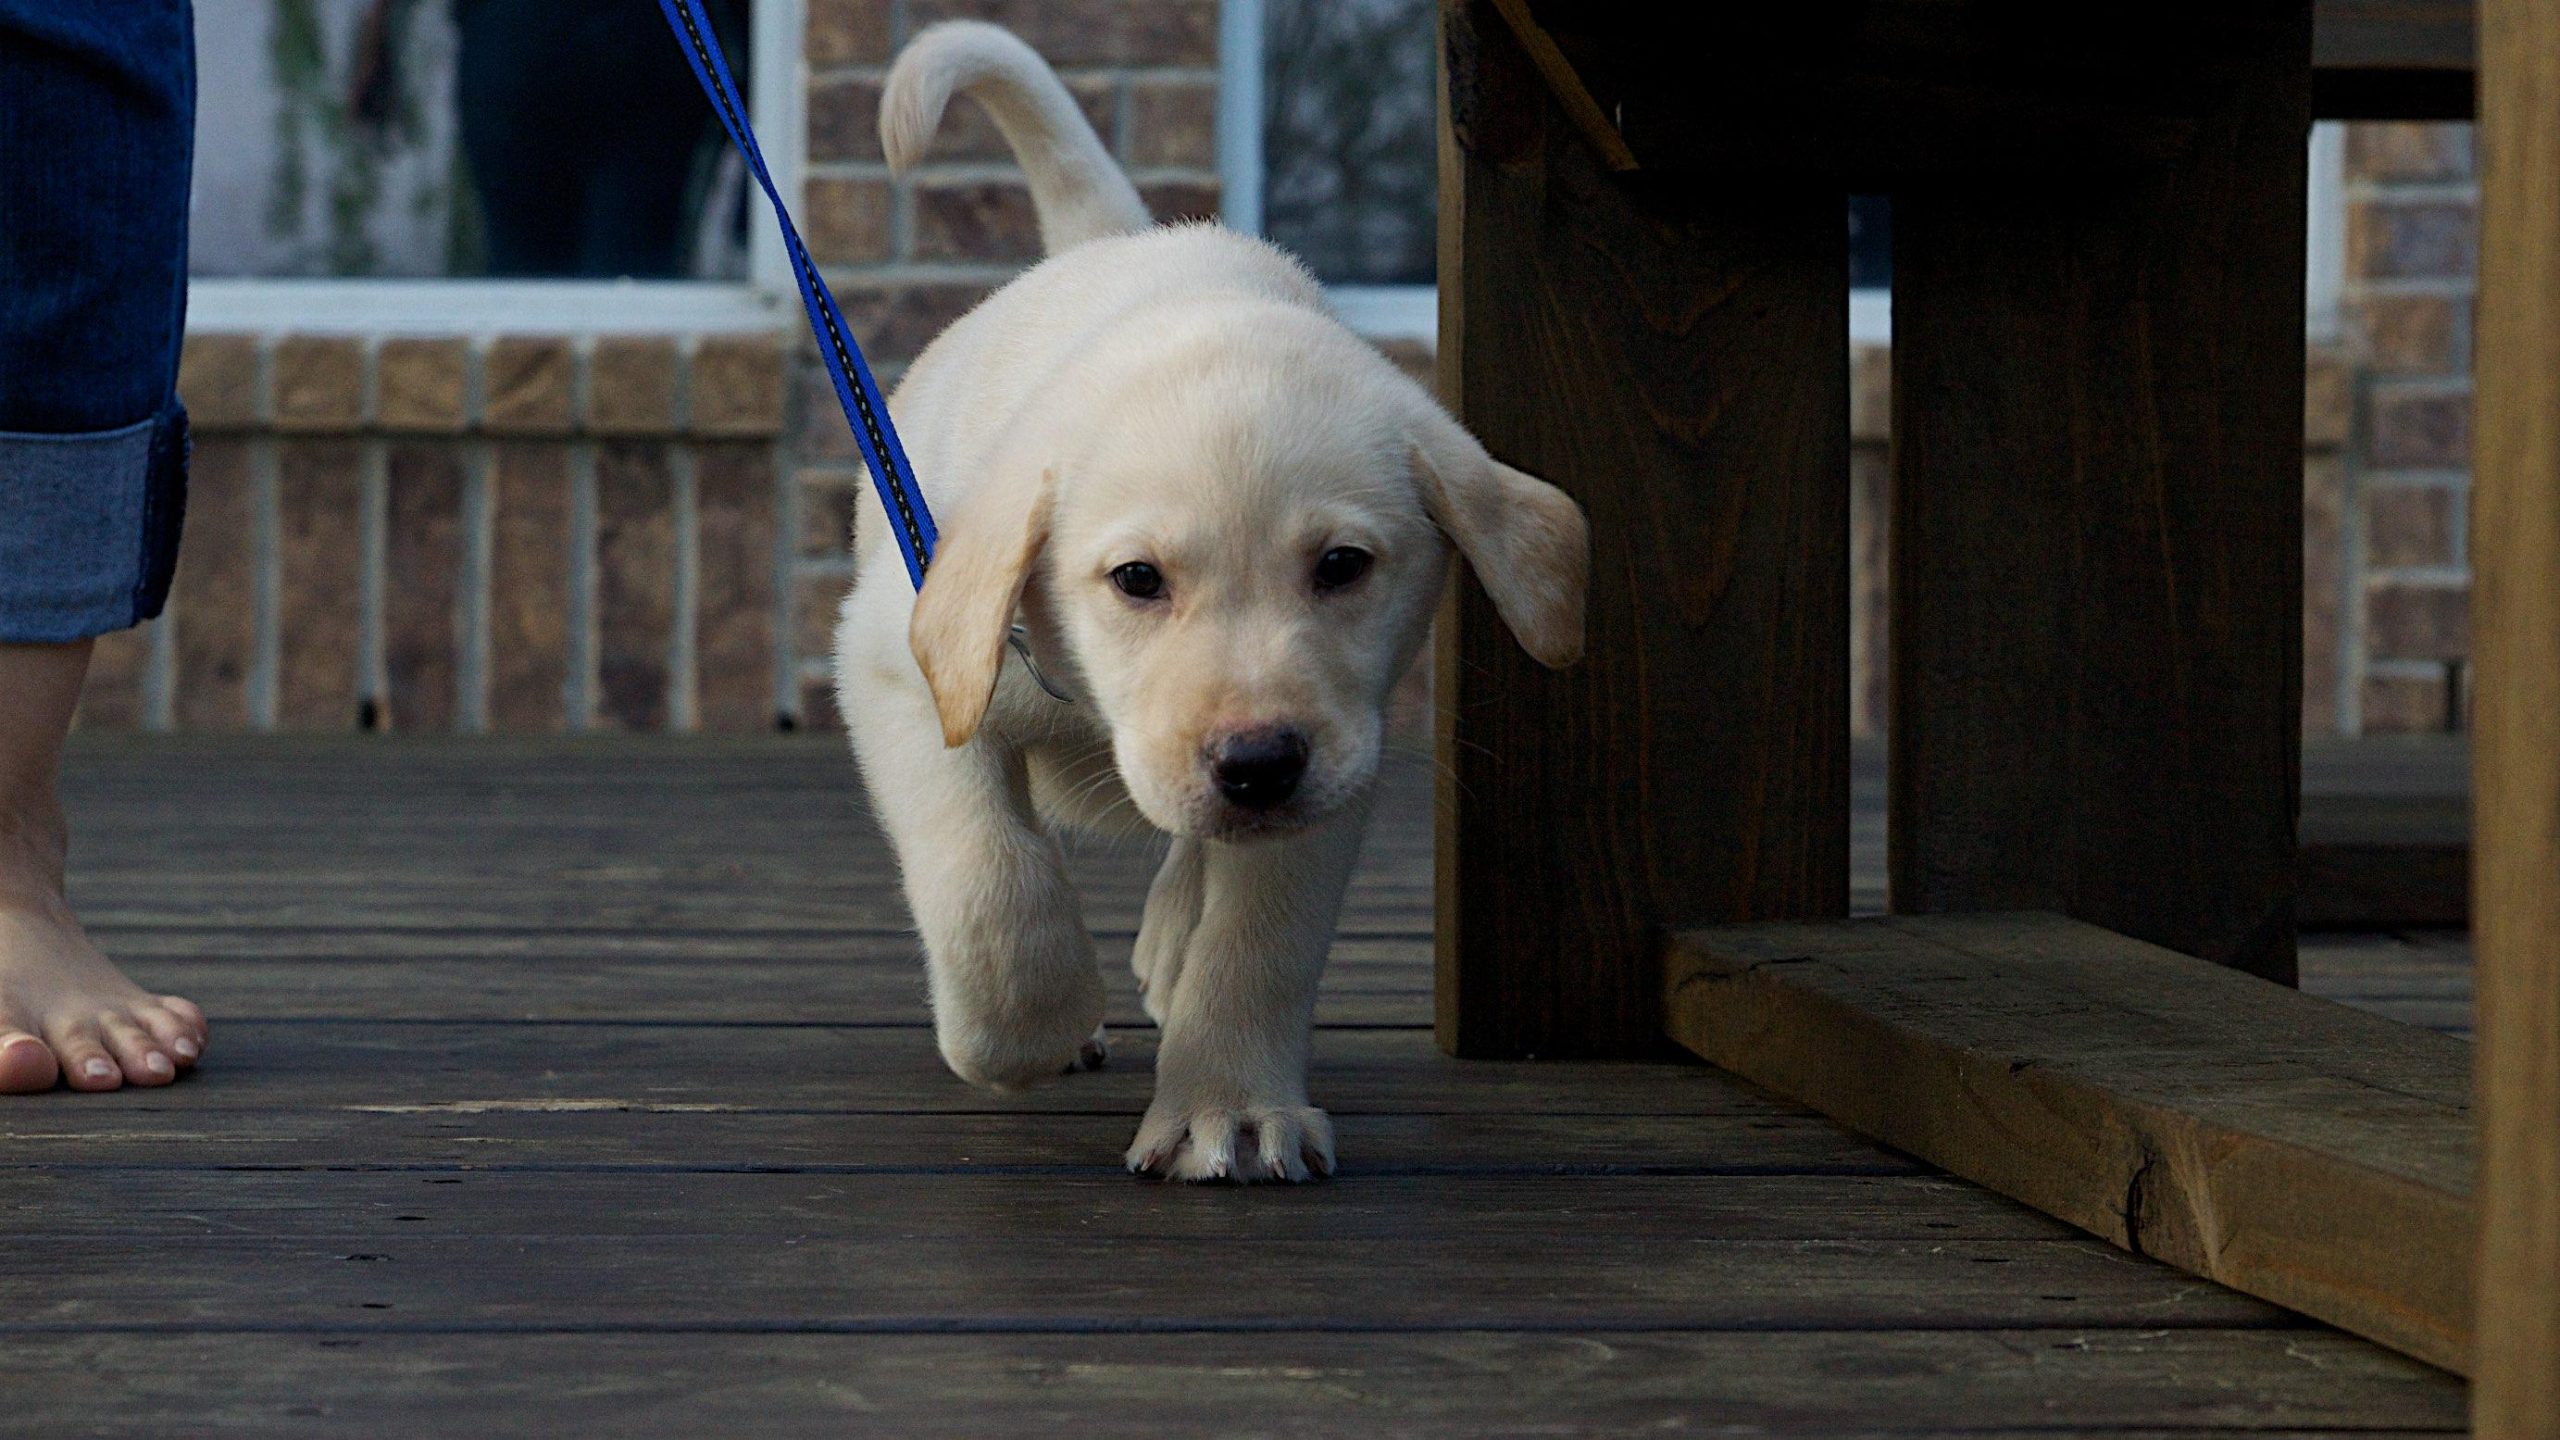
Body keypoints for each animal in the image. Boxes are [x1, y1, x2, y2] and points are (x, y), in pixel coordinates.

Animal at [834, 22, 1576, 1178]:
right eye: (1137, 580)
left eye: (1343, 566)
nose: (1256, 766)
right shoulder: (903, 668)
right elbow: (988, 879)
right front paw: (1029, 1026)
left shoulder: (1338, 764)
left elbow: (1258, 945)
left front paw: (1229, 1106)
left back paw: (1174, 934)